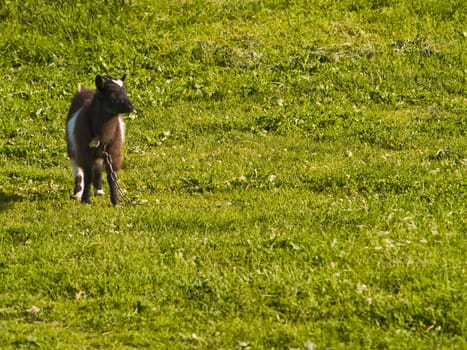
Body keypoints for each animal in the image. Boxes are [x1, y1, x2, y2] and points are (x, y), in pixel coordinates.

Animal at [65, 74, 133, 205]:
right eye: (112, 93)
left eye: (125, 91)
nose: (131, 106)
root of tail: (84, 90)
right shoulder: (84, 151)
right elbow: (88, 176)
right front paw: (86, 200)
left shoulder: (113, 152)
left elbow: (111, 177)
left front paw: (115, 201)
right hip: (73, 148)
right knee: (78, 171)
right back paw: (77, 193)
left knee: (98, 169)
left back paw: (99, 190)